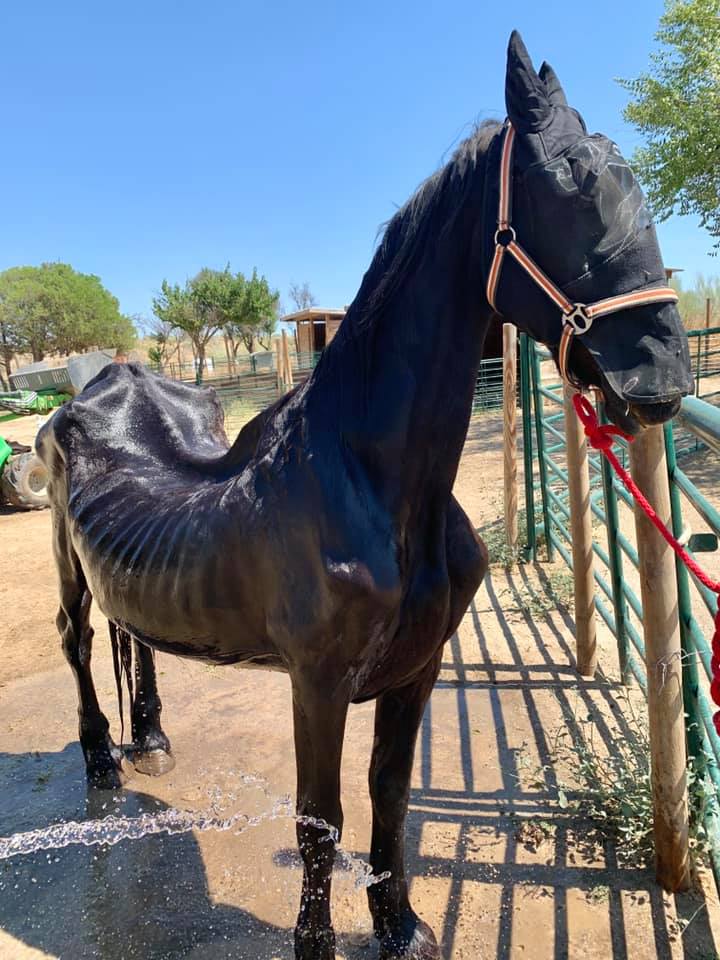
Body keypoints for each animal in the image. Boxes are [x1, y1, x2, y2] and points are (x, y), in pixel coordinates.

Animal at [37, 31, 692, 960]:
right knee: (80, 641)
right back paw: (99, 757)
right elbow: (321, 820)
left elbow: (389, 794)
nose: (662, 377)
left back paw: (152, 739)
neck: (373, 486)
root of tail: (100, 384)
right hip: (67, 566)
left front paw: (401, 927)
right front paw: (319, 943)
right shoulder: (316, 683)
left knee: (135, 639)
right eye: (564, 182)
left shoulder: (417, 668)